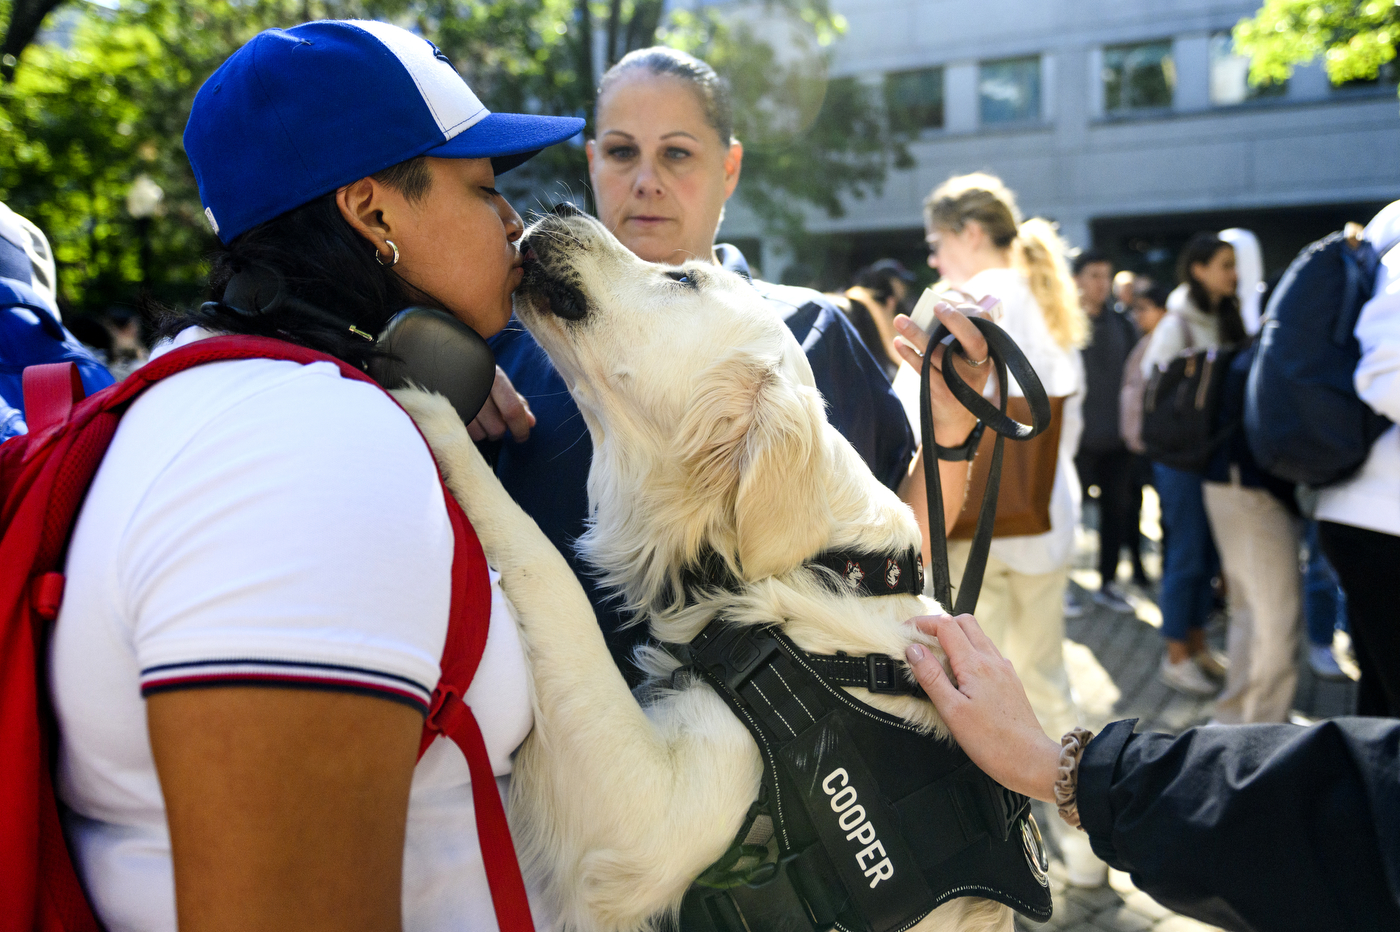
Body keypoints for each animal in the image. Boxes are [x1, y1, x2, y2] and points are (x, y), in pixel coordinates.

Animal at [394, 209, 1019, 929]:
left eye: (681, 277)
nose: (562, 210)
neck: (817, 574)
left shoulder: (650, 819)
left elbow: (547, 569)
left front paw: (437, 414)